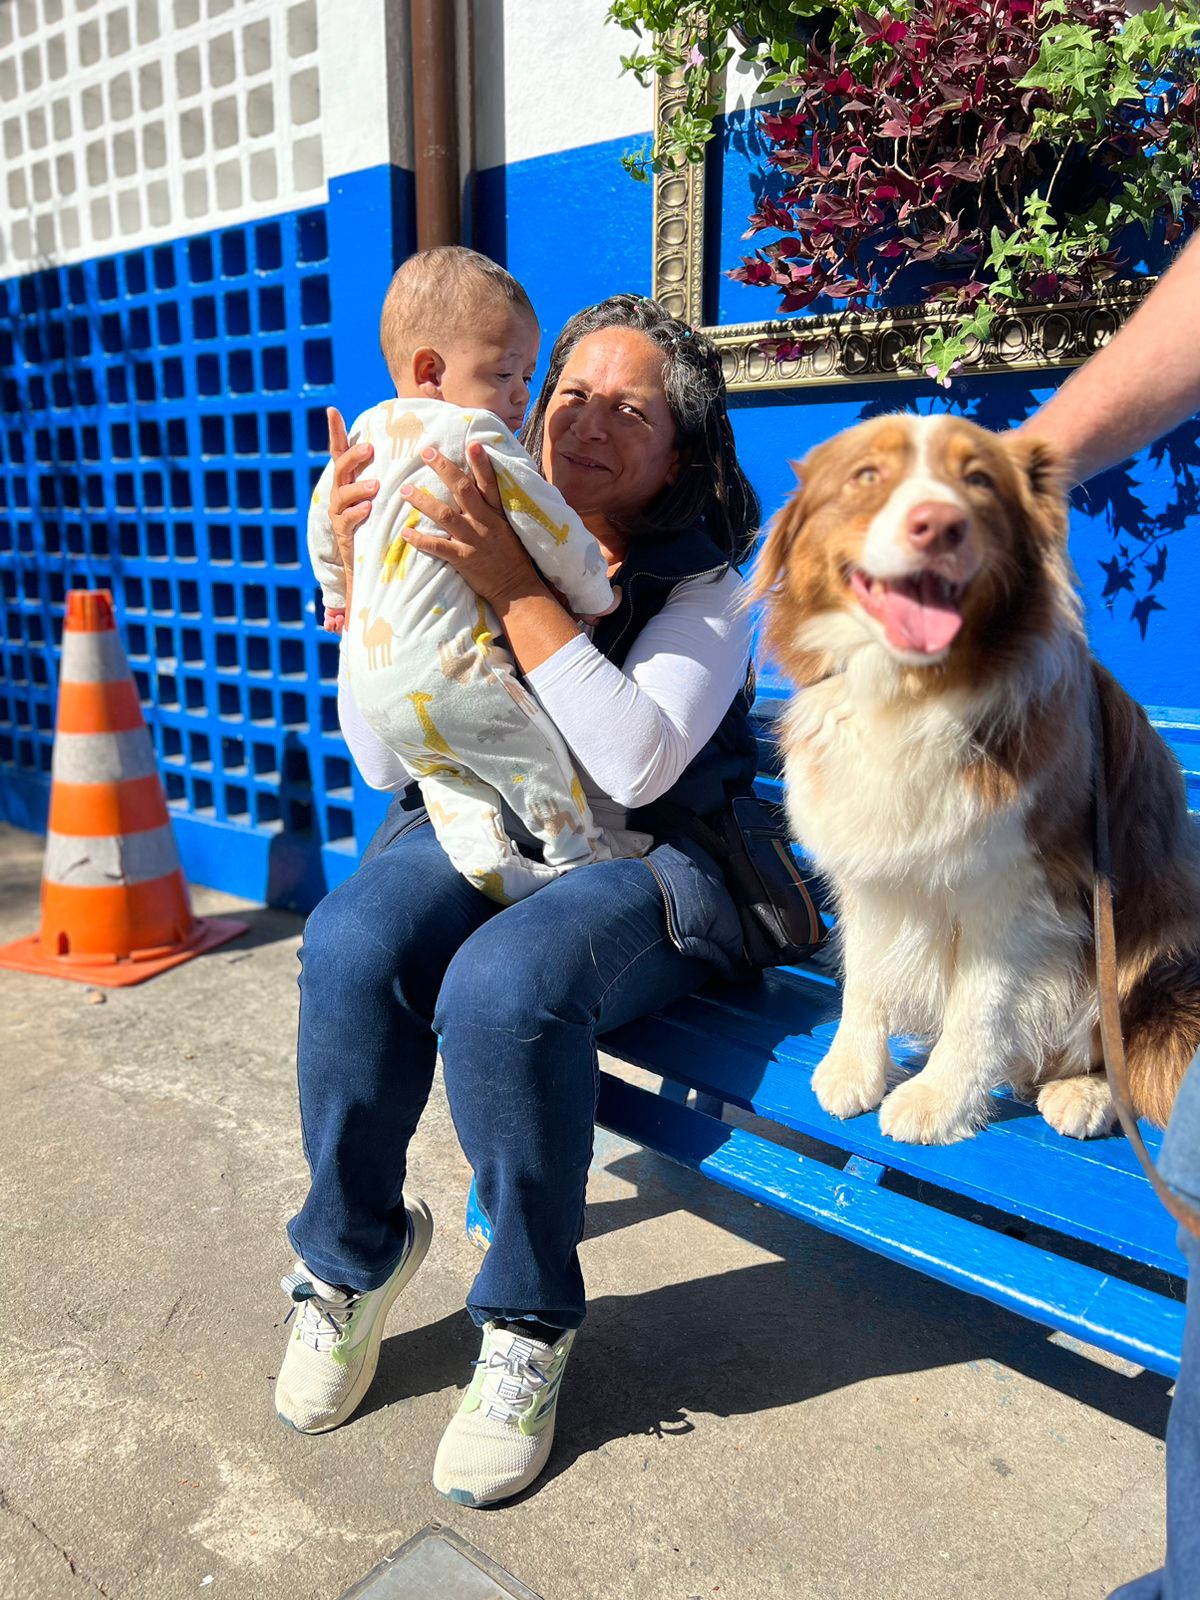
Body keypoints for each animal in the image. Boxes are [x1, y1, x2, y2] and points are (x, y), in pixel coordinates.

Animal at [752, 412, 1200, 1139]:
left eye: (980, 481)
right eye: (867, 475)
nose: (938, 524)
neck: (910, 695)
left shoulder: (1020, 887)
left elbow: (980, 1005)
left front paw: (939, 1100)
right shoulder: (866, 862)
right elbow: (865, 973)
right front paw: (853, 1068)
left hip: (1148, 943)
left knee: (1127, 1044)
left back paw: (1084, 1094)